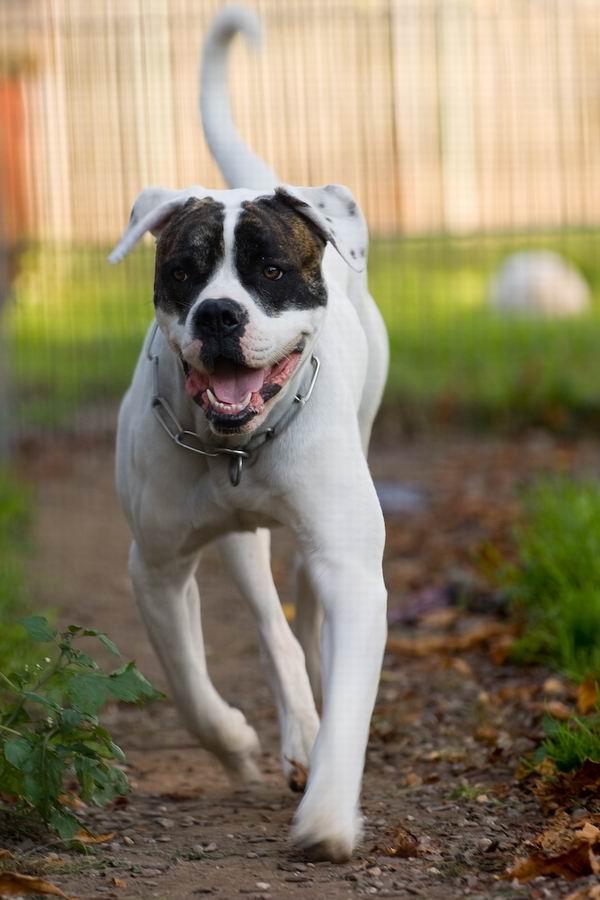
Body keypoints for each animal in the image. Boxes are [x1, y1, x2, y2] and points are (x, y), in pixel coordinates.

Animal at [109, 7, 386, 864]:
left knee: (305, 612)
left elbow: (350, 699)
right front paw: (236, 746)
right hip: (234, 541)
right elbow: (190, 687)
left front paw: (328, 814)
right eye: (184, 272)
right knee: (272, 626)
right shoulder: (156, 565)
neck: (238, 445)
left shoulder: (352, 569)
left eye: (269, 270)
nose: (219, 315)